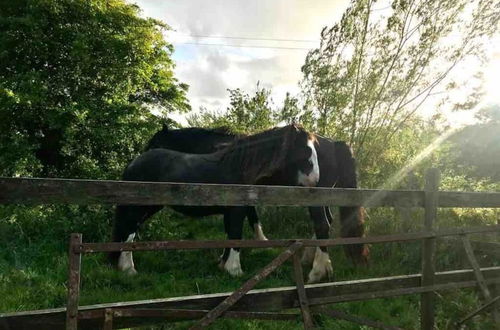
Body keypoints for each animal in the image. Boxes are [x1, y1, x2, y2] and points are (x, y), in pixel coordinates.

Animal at [111, 125, 318, 278]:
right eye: (306, 150)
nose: (315, 181)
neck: (238, 166)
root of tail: (133, 163)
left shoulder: (232, 211)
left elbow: (230, 235)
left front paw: (223, 264)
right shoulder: (237, 210)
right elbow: (235, 235)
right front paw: (234, 270)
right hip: (139, 208)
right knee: (129, 231)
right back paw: (129, 269)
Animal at [139, 125, 370, 282]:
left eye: (154, 143)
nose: (139, 161)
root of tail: (336, 144)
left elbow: (242, 224)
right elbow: (233, 226)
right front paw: (225, 259)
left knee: (322, 224)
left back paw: (318, 270)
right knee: (326, 222)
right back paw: (310, 259)